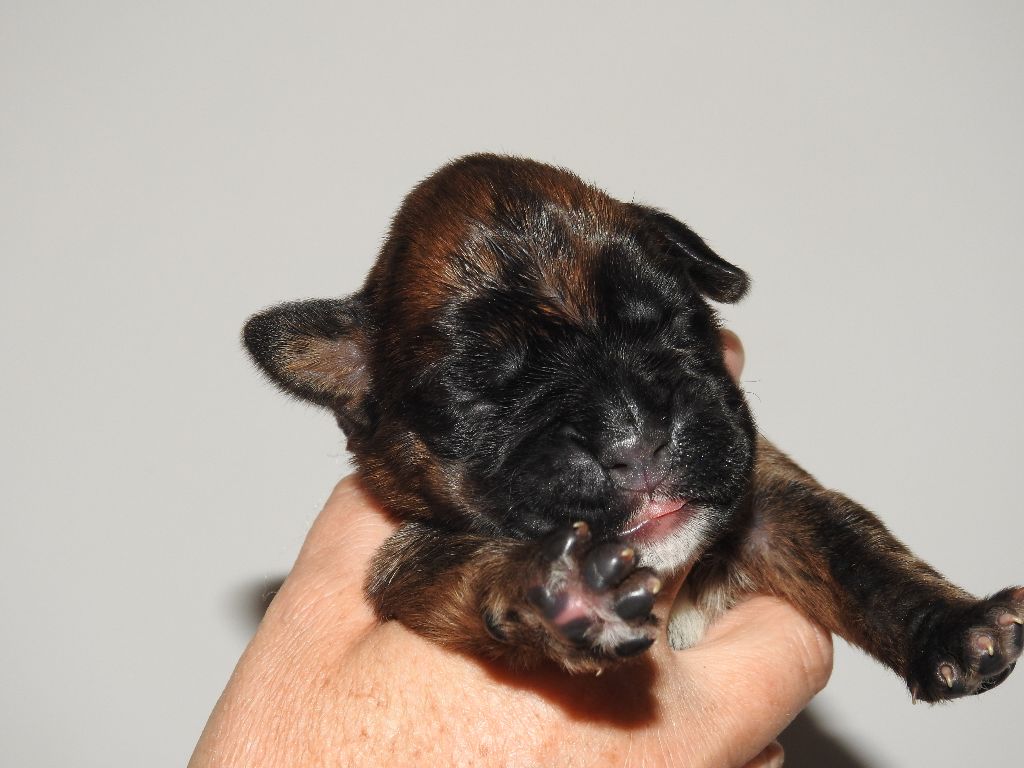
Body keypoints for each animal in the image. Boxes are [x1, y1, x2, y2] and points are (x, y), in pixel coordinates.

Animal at [244, 154, 1022, 703]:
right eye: (480, 394)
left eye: (673, 322)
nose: (632, 432)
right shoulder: (407, 561)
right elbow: (466, 565)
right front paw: (562, 590)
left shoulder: (770, 499)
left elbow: (856, 552)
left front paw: (956, 628)